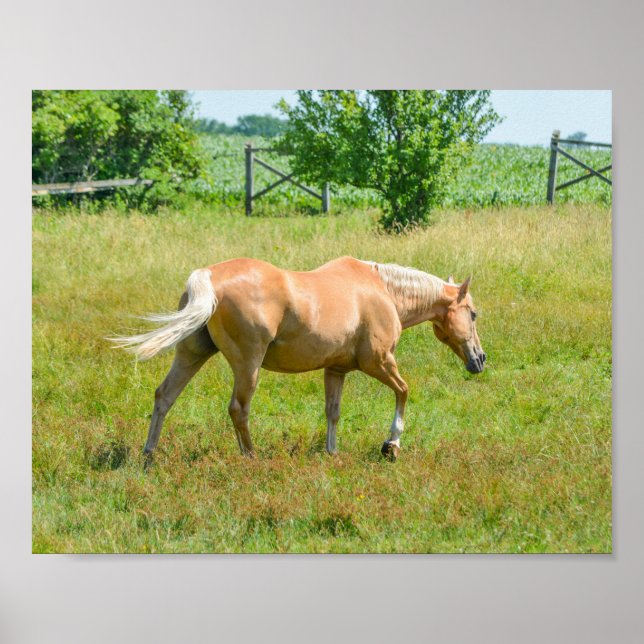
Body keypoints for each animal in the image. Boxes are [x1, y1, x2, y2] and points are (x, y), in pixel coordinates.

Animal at [110, 256, 485, 462]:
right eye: (473, 313)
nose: (480, 359)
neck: (384, 291)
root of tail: (209, 276)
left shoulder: (336, 370)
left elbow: (333, 412)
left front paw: (333, 453)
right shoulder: (379, 362)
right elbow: (404, 392)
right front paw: (391, 445)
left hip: (191, 354)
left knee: (164, 397)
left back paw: (148, 455)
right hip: (248, 364)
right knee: (238, 409)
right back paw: (251, 456)